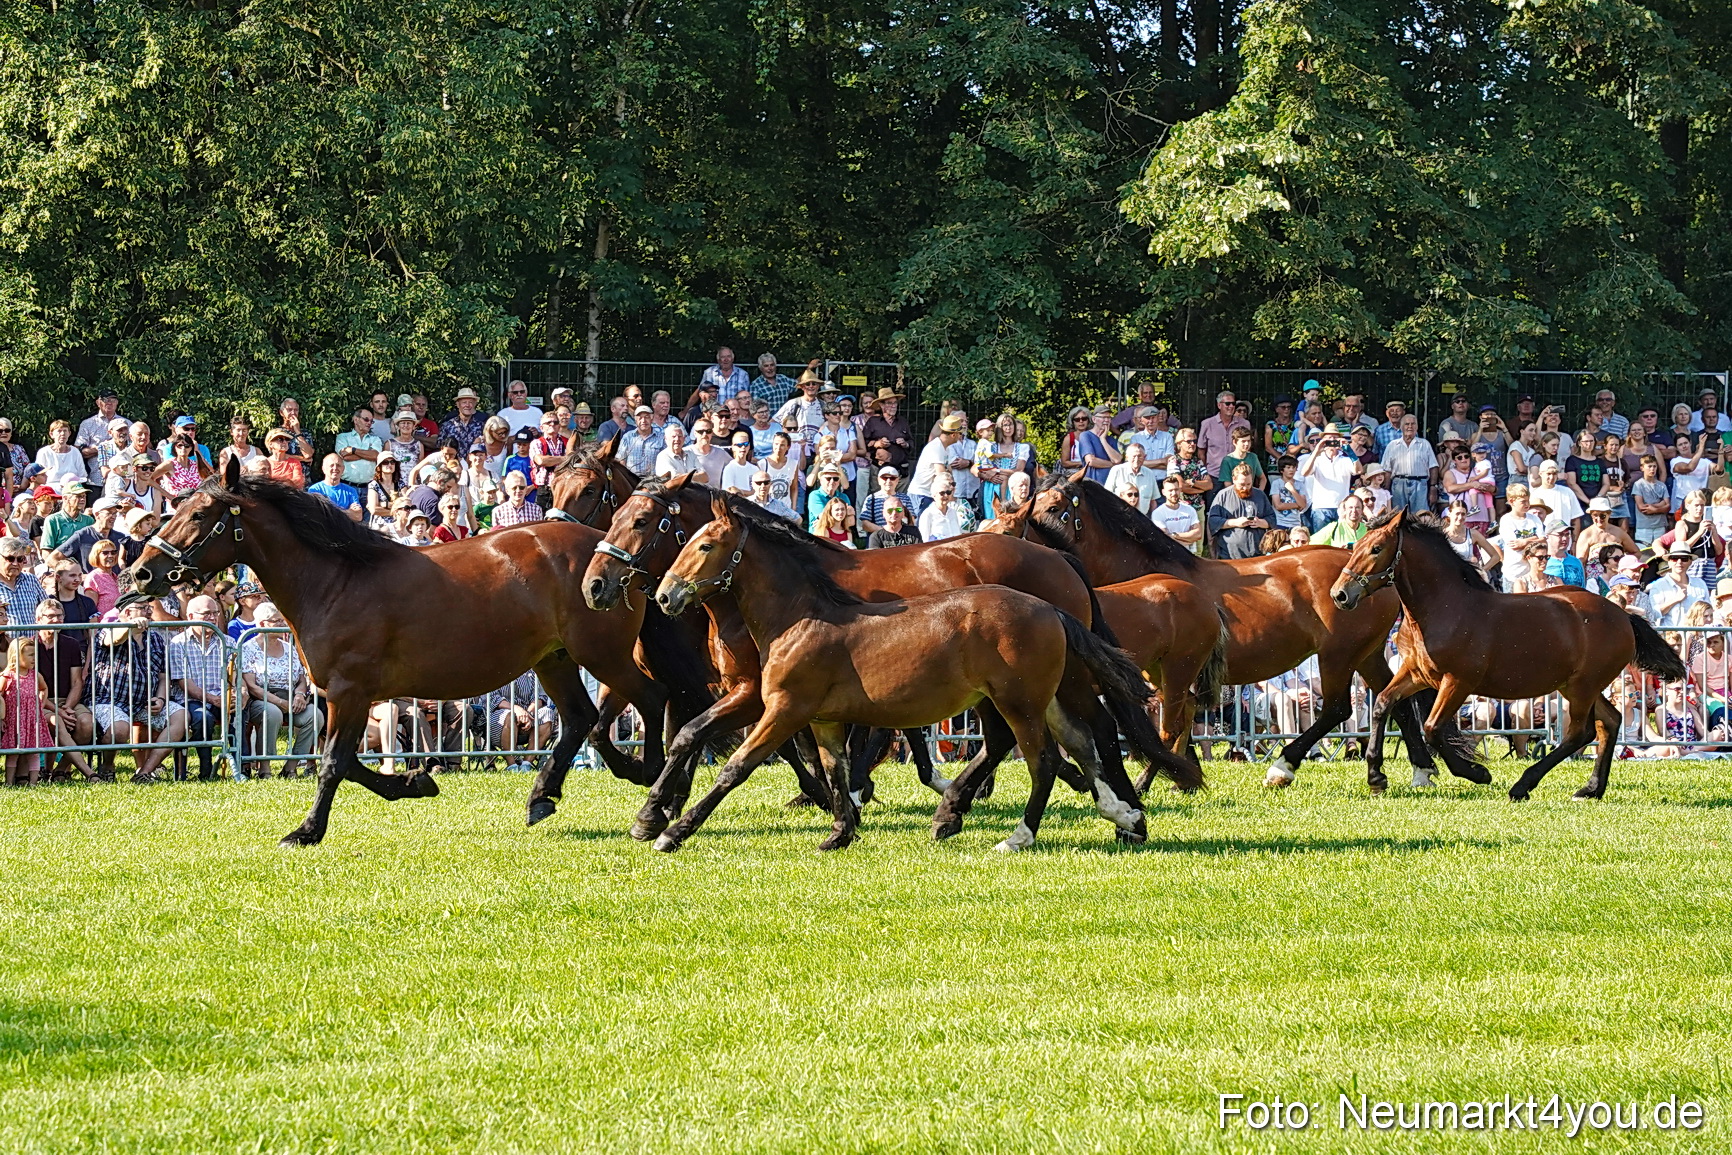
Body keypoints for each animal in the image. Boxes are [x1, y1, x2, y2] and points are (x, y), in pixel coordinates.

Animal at [129, 456, 714, 846]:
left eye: (200, 515)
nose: (140, 573)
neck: (336, 580)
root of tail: (612, 561)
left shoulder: (349, 691)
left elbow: (332, 763)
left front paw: (307, 830)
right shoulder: (347, 697)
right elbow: (347, 761)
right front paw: (414, 780)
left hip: (599, 654)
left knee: (651, 699)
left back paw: (650, 790)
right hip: (555, 660)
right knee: (582, 719)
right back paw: (544, 796)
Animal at [581, 475, 1164, 842]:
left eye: (643, 521)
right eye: (616, 510)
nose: (595, 586)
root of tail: (1059, 558)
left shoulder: (756, 694)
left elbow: (703, 738)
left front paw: (655, 815)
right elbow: (708, 737)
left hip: (1046, 683)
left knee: (1086, 733)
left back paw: (1119, 809)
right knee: (1019, 739)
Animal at [1004, 474, 1460, 793]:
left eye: (1061, 508)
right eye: (1035, 503)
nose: (1038, 543)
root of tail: (1375, 581)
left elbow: (1170, 724)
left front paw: (1167, 776)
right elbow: (1180, 723)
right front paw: (1183, 775)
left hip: (1339, 655)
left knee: (1338, 709)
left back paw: (1283, 767)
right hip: (1365, 654)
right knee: (1393, 700)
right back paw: (1417, 771)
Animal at [1330, 509, 1688, 800]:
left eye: (1376, 548)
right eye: (1356, 545)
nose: (1340, 594)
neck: (1443, 609)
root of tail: (1622, 615)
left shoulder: (1458, 681)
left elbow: (1432, 727)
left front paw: (1477, 773)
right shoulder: (1417, 674)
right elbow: (1383, 704)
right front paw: (1376, 777)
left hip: (1582, 686)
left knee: (1581, 732)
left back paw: (1524, 786)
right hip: (1577, 685)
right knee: (1609, 722)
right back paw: (1590, 789)